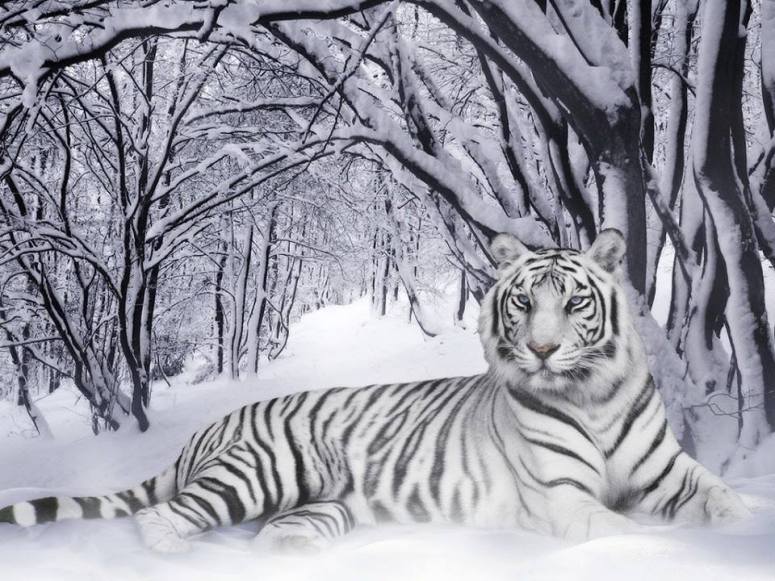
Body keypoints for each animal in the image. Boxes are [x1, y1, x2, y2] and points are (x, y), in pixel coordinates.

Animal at [0, 229, 750, 552]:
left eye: (573, 303)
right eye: (522, 303)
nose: (541, 348)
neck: (592, 395)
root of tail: (206, 431)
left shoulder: (669, 472)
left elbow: (722, 498)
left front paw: (741, 527)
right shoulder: (565, 498)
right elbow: (624, 529)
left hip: (320, 506)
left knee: (271, 532)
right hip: (259, 471)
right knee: (163, 517)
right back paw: (178, 556)